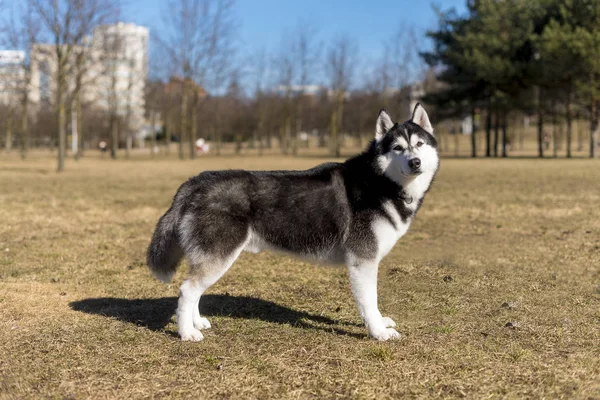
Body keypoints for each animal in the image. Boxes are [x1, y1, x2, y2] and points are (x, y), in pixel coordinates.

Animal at [148, 103, 438, 340]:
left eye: (420, 144)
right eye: (397, 148)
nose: (415, 162)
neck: (381, 183)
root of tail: (195, 182)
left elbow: (373, 304)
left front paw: (380, 322)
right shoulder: (362, 260)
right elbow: (369, 301)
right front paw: (378, 332)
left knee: (195, 289)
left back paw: (196, 323)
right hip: (219, 254)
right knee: (187, 290)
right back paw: (186, 333)